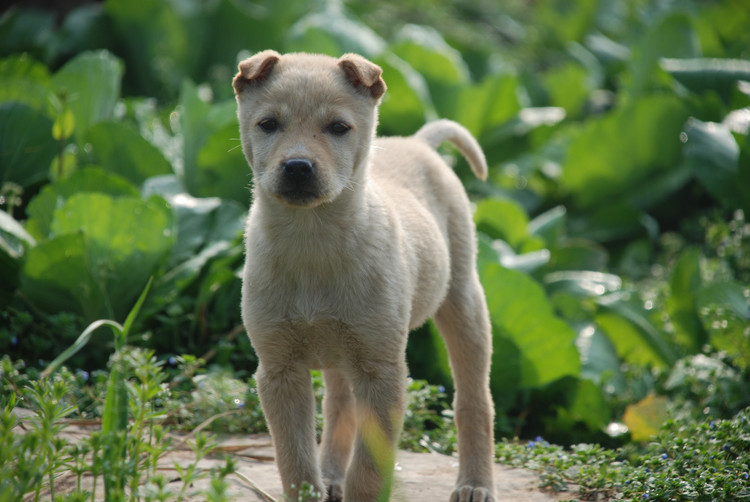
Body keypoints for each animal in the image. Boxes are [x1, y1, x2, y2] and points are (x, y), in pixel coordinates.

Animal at [232, 51, 496, 502]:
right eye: (268, 123)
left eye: (338, 128)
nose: (298, 167)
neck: (313, 241)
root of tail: (418, 142)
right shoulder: (278, 370)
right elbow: (295, 460)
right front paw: (313, 485)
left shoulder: (381, 371)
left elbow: (370, 468)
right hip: (341, 347)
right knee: (340, 406)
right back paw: (331, 474)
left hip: (463, 302)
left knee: (473, 399)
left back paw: (475, 483)